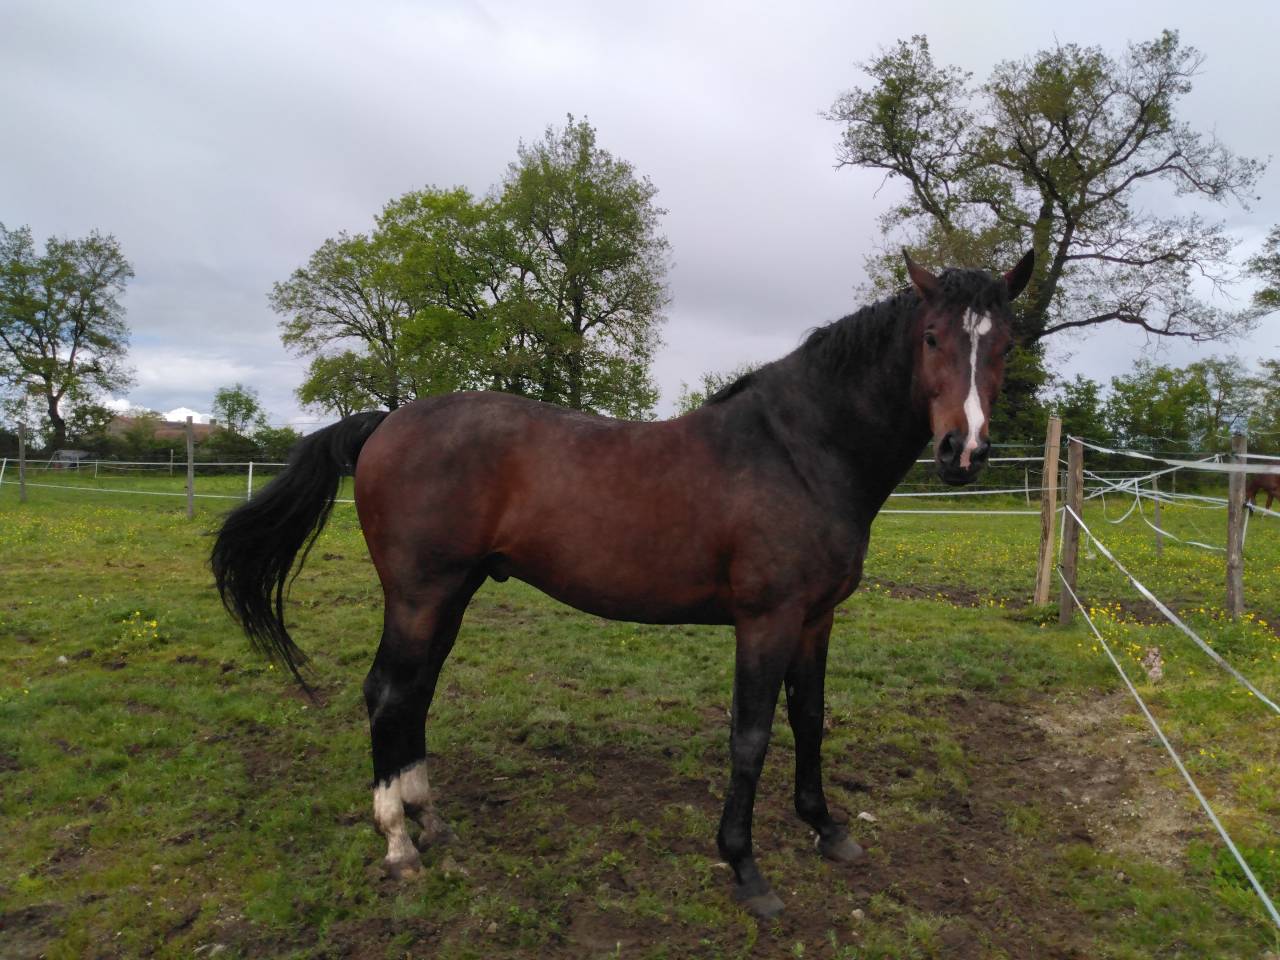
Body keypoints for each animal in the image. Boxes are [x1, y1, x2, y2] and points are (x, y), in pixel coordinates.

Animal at [211, 249, 1034, 919]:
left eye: (1003, 343)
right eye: (933, 338)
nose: (963, 451)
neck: (799, 452)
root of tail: (386, 422)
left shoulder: (816, 619)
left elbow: (810, 718)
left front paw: (827, 828)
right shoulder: (766, 619)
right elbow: (751, 734)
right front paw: (746, 869)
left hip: (452, 595)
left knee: (413, 695)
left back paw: (430, 822)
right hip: (420, 595)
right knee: (386, 695)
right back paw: (398, 844)